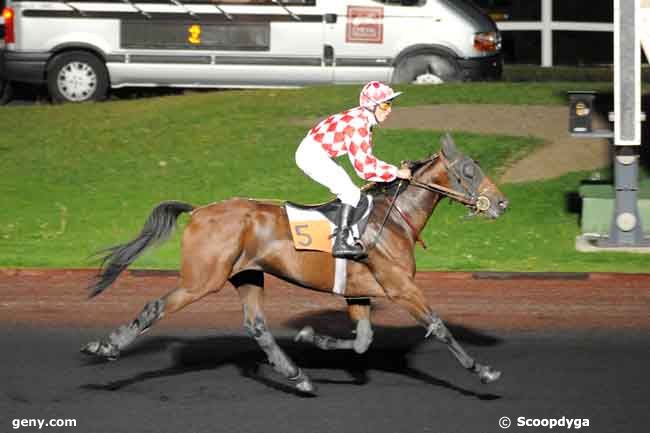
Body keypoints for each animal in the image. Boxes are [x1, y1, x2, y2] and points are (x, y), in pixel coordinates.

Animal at [81, 133, 506, 394]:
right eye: (469, 171)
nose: (501, 203)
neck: (392, 219)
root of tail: (200, 210)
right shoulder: (401, 287)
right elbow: (438, 326)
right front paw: (483, 370)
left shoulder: (359, 294)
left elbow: (363, 341)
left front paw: (310, 337)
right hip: (202, 279)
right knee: (155, 307)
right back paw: (105, 346)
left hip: (247, 275)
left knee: (257, 325)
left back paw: (297, 375)